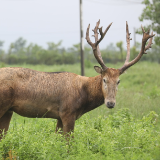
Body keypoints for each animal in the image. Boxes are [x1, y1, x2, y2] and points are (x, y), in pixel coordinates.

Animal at [0, 20, 155, 140]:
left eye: (118, 81)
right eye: (104, 79)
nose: (110, 103)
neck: (84, 96)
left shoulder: (59, 116)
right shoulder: (68, 112)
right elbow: (69, 143)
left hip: (8, 110)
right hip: (3, 105)